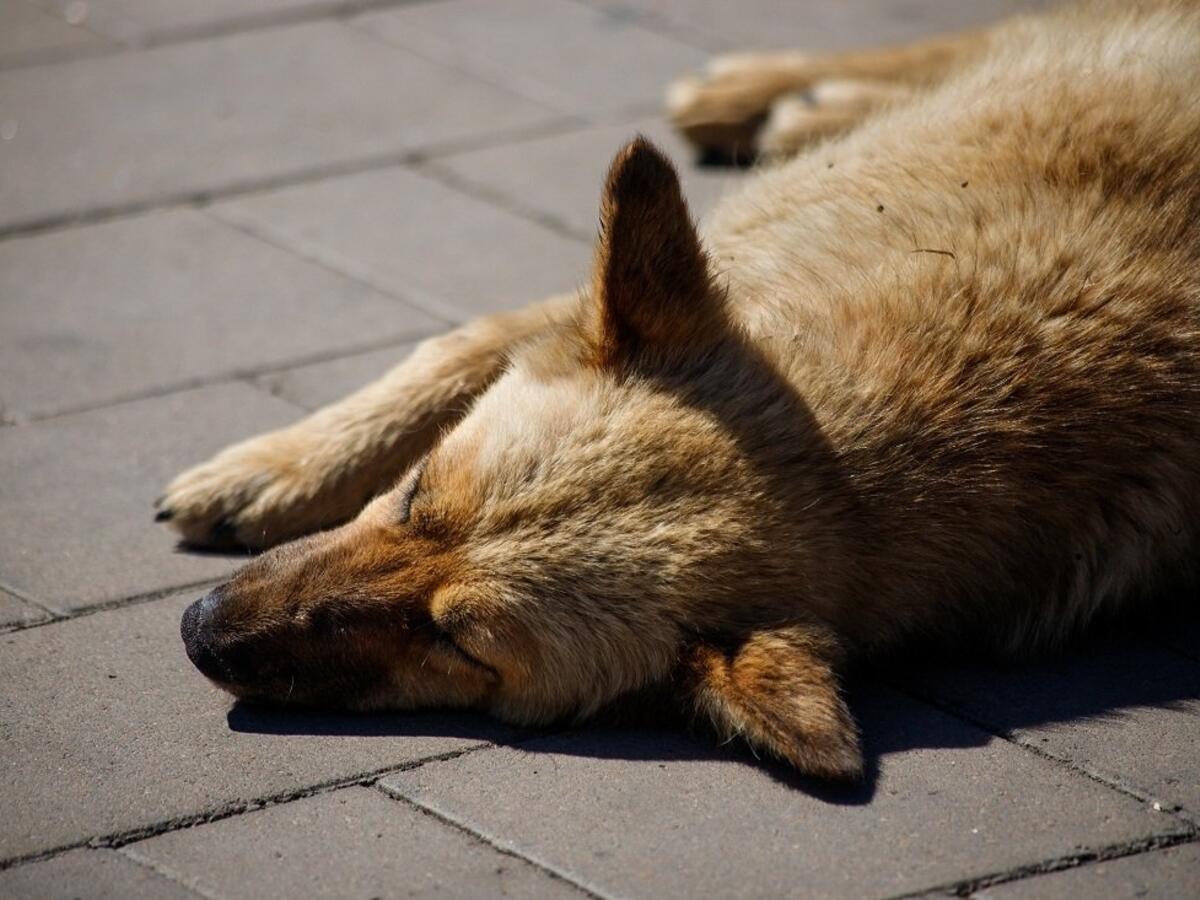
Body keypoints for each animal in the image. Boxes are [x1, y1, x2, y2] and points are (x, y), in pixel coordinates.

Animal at [159, 0, 1200, 777]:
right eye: (415, 496)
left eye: (460, 645)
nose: (199, 632)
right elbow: (463, 346)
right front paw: (283, 464)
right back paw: (773, 92)